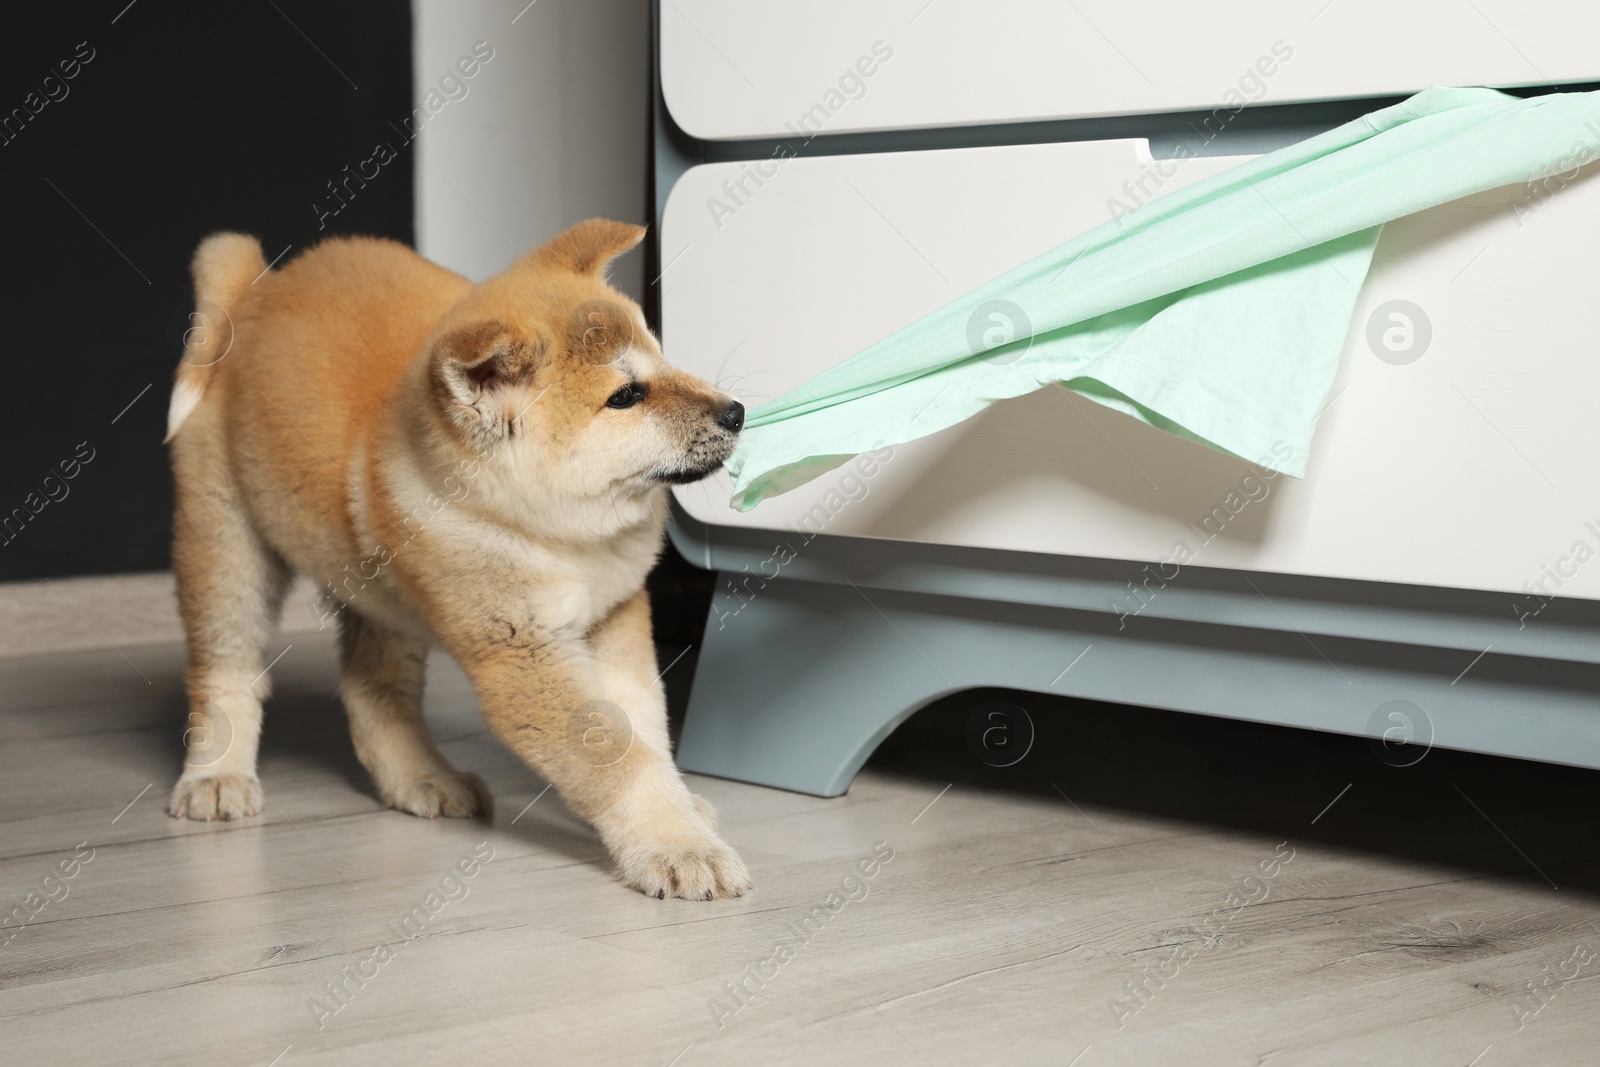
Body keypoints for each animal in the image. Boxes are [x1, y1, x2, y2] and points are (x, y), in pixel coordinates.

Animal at [165, 219, 752, 902]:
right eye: (626, 395)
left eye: (661, 356)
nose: (737, 412)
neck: (560, 535)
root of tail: (254, 292)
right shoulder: (522, 655)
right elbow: (614, 755)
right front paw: (678, 845)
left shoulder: (615, 615)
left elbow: (642, 725)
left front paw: (681, 810)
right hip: (227, 548)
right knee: (225, 672)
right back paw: (215, 776)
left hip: (382, 593)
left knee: (373, 694)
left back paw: (422, 779)